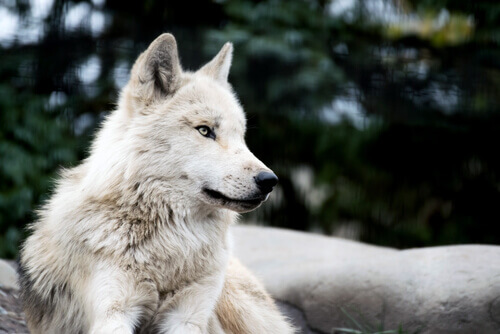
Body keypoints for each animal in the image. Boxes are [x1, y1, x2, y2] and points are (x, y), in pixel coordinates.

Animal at [19, 34, 294, 334]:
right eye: (205, 130)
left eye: (241, 136)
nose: (269, 181)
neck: (171, 244)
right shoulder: (113, 311)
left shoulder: (188, 317)